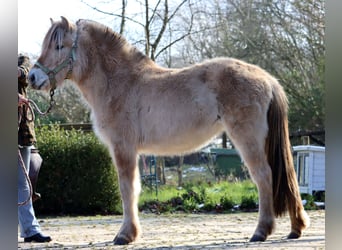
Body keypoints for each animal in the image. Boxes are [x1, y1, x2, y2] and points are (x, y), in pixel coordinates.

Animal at [28, 16, 308, 245]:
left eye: (59, 46)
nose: (31, 77)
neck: (120, 83)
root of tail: (267, 78)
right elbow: (134, 190)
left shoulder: (123, 149)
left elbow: (127, 190)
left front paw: (124, 235)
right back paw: (295, 228)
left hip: (247, 140)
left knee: (263, 177)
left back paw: (261, 231)